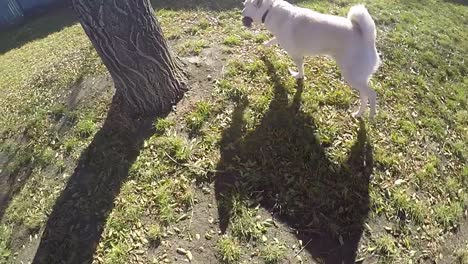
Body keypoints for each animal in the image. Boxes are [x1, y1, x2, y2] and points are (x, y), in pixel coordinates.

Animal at [243, 0, 382, 117]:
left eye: (245, 6)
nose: (241, 13)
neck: (269, 9)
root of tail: (368, 39)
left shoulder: (296, 55)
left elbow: (300, 70)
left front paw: (298, 76)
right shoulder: (280, 40)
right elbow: (270, 42)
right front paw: (262, 49)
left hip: (352, 76)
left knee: (372, 94)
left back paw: (371, 115)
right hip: (358, 78)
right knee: (364, 96)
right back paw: (359, 114)